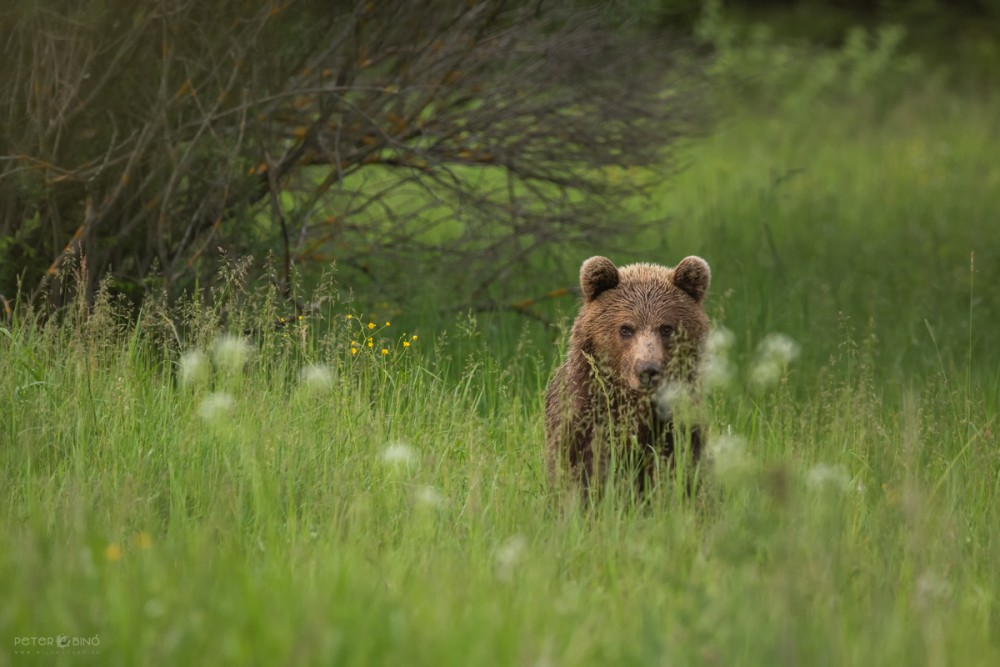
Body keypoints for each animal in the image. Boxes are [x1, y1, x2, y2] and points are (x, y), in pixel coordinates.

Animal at [548, 258, 712, 498]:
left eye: (666, 328)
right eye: (626, 328)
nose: (648, 370)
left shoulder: (676, 428)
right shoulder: (583, 421)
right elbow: (578, 473)